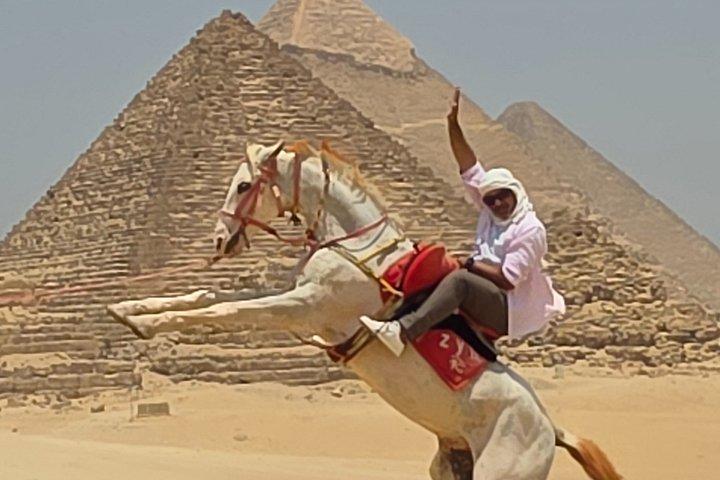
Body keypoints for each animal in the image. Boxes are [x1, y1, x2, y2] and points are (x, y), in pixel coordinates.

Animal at [108, 140, 622, 480]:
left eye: (244, 185)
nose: (219, 240)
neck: (355, 243)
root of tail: (550, 429)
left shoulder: (305, 306)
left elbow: (226, 312)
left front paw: (148, 323)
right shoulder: (294, 293)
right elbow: (208, 297)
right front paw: (128, 310)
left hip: (504, 471)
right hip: (452, 461)